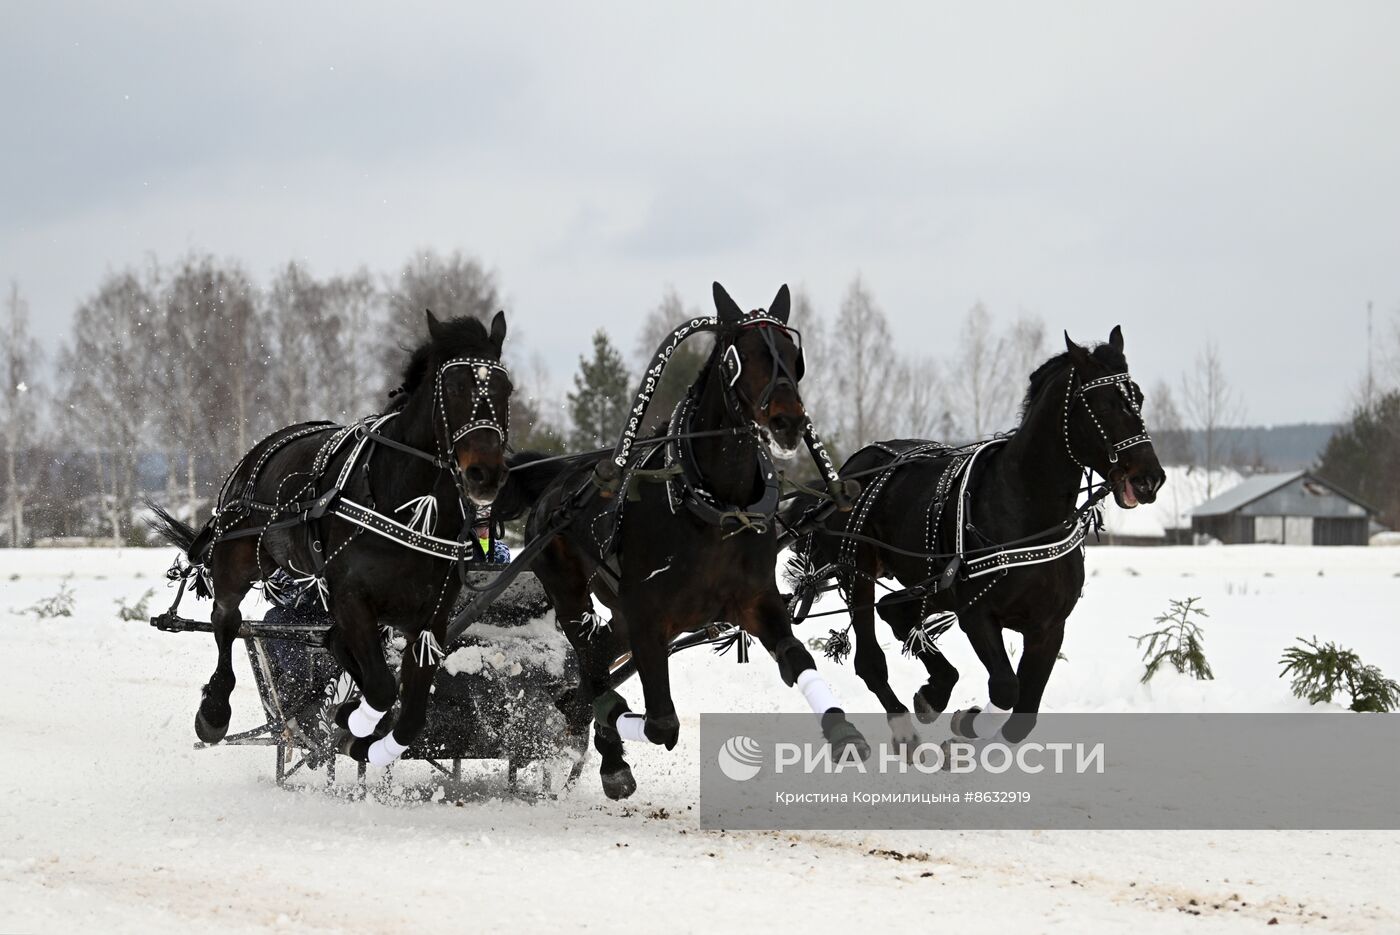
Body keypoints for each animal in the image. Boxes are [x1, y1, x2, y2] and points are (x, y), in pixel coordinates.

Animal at [153, 310, 515, 761]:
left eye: (505, 388)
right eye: (453, 387)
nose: (486, 474)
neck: (412, 509)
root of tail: (261, 449)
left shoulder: (429, 619)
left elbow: (411, 714)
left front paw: (369, 738)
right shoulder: (352, 598)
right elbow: (382, 688)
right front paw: (355, 722)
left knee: (332, 641)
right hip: (239, 557)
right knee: (227, 621)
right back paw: (215, 710)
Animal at [509, 282, 868, 795]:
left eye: (792, 356)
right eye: (741, 355)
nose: (788, 421)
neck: (716, 508)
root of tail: (558, 481)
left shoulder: (755, 600)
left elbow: (795, 658)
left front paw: (842, 730)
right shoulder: (648, 614)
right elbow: (662, 724)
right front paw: (614, 740)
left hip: (624, 616)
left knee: (594, 662)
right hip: (570, 589)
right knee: (592, 663)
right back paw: (608, 752)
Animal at [795, 328, 1164, 744]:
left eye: (1138, 398)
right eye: (1103, 403)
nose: (1149, 478)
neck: (1025, 513)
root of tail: (850, 470)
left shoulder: (1048, 627)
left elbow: (1022, 718)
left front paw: (962, 719)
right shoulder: (977, 614)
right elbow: (1005, 688)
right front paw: (967, 723)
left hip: (933, 584)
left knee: (895, 611)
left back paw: (936, 689)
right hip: (858, 572)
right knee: (871, 659)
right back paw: (905, 724)